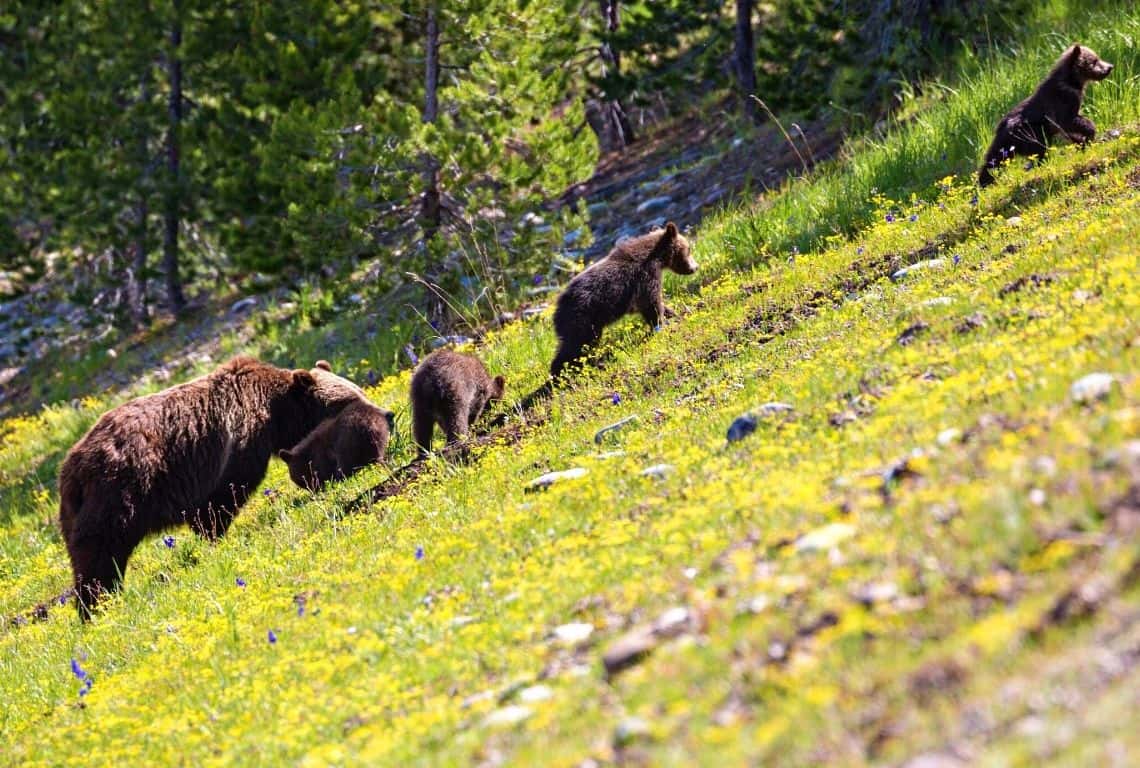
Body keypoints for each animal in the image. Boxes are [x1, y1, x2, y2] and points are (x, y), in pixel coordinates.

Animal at [58, 355, 369, 615]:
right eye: (350, 398)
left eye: (358, 391)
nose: (378, 409)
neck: (275, 413)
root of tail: (72, 468)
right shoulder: (234, 448)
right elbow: (220, 500)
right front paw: (217, 539)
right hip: (118, 494)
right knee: (99, 554)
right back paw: (97, 605)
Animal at [549, 219, 693, 378]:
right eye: (689, 249)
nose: (694, 268)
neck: (657, 258)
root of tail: (557, 309)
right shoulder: (645, 276)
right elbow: (651, 302)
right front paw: (660, 324)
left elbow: (647, 304)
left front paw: (675, 313)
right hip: (582, 318)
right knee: (578, 345)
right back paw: (567, 372)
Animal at [980, 43, 1112, 186]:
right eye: (1094, 61)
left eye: (1097, 57)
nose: (1110, 67)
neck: (1072, 82)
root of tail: (1003, 130)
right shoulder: (1063, 100)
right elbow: (1070, 120)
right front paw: (1089, 134)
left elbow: (1069, 130)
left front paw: (1082, 143)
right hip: (1032, 131)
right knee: (1039, 149)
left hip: (1008, 142)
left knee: (993, 159)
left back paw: (984, 181)